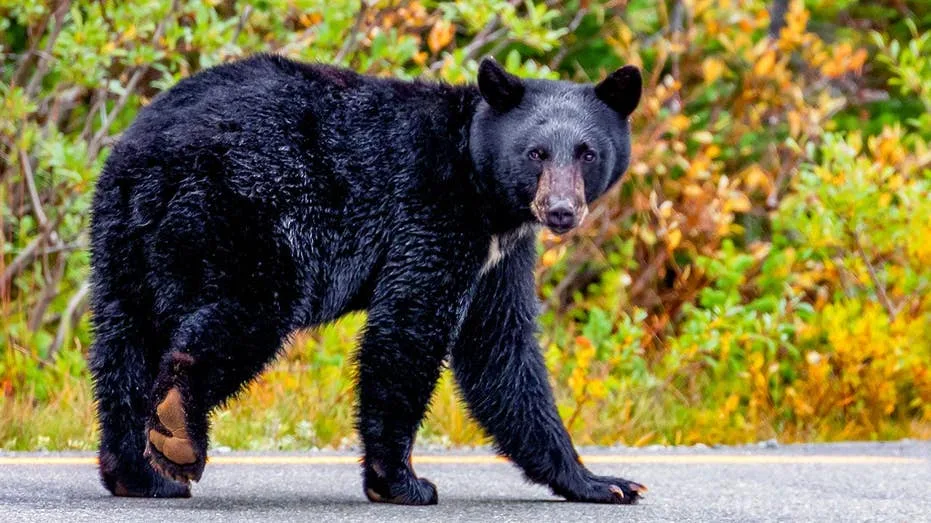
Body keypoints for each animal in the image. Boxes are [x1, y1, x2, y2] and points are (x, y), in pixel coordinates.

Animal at [88, 54, 643, 504]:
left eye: (587, 153)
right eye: (536, 153)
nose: (561, 210)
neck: (480, 184)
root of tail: (153, 153)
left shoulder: (499, 256)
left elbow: (500, 350)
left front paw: (598, 481)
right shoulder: (432, 214)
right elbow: (409, 327)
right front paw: (400, 481)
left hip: (121, 239)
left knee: (122, 347)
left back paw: (140, 474)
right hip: (248, 214)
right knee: (247, 314)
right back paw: (178, 429)